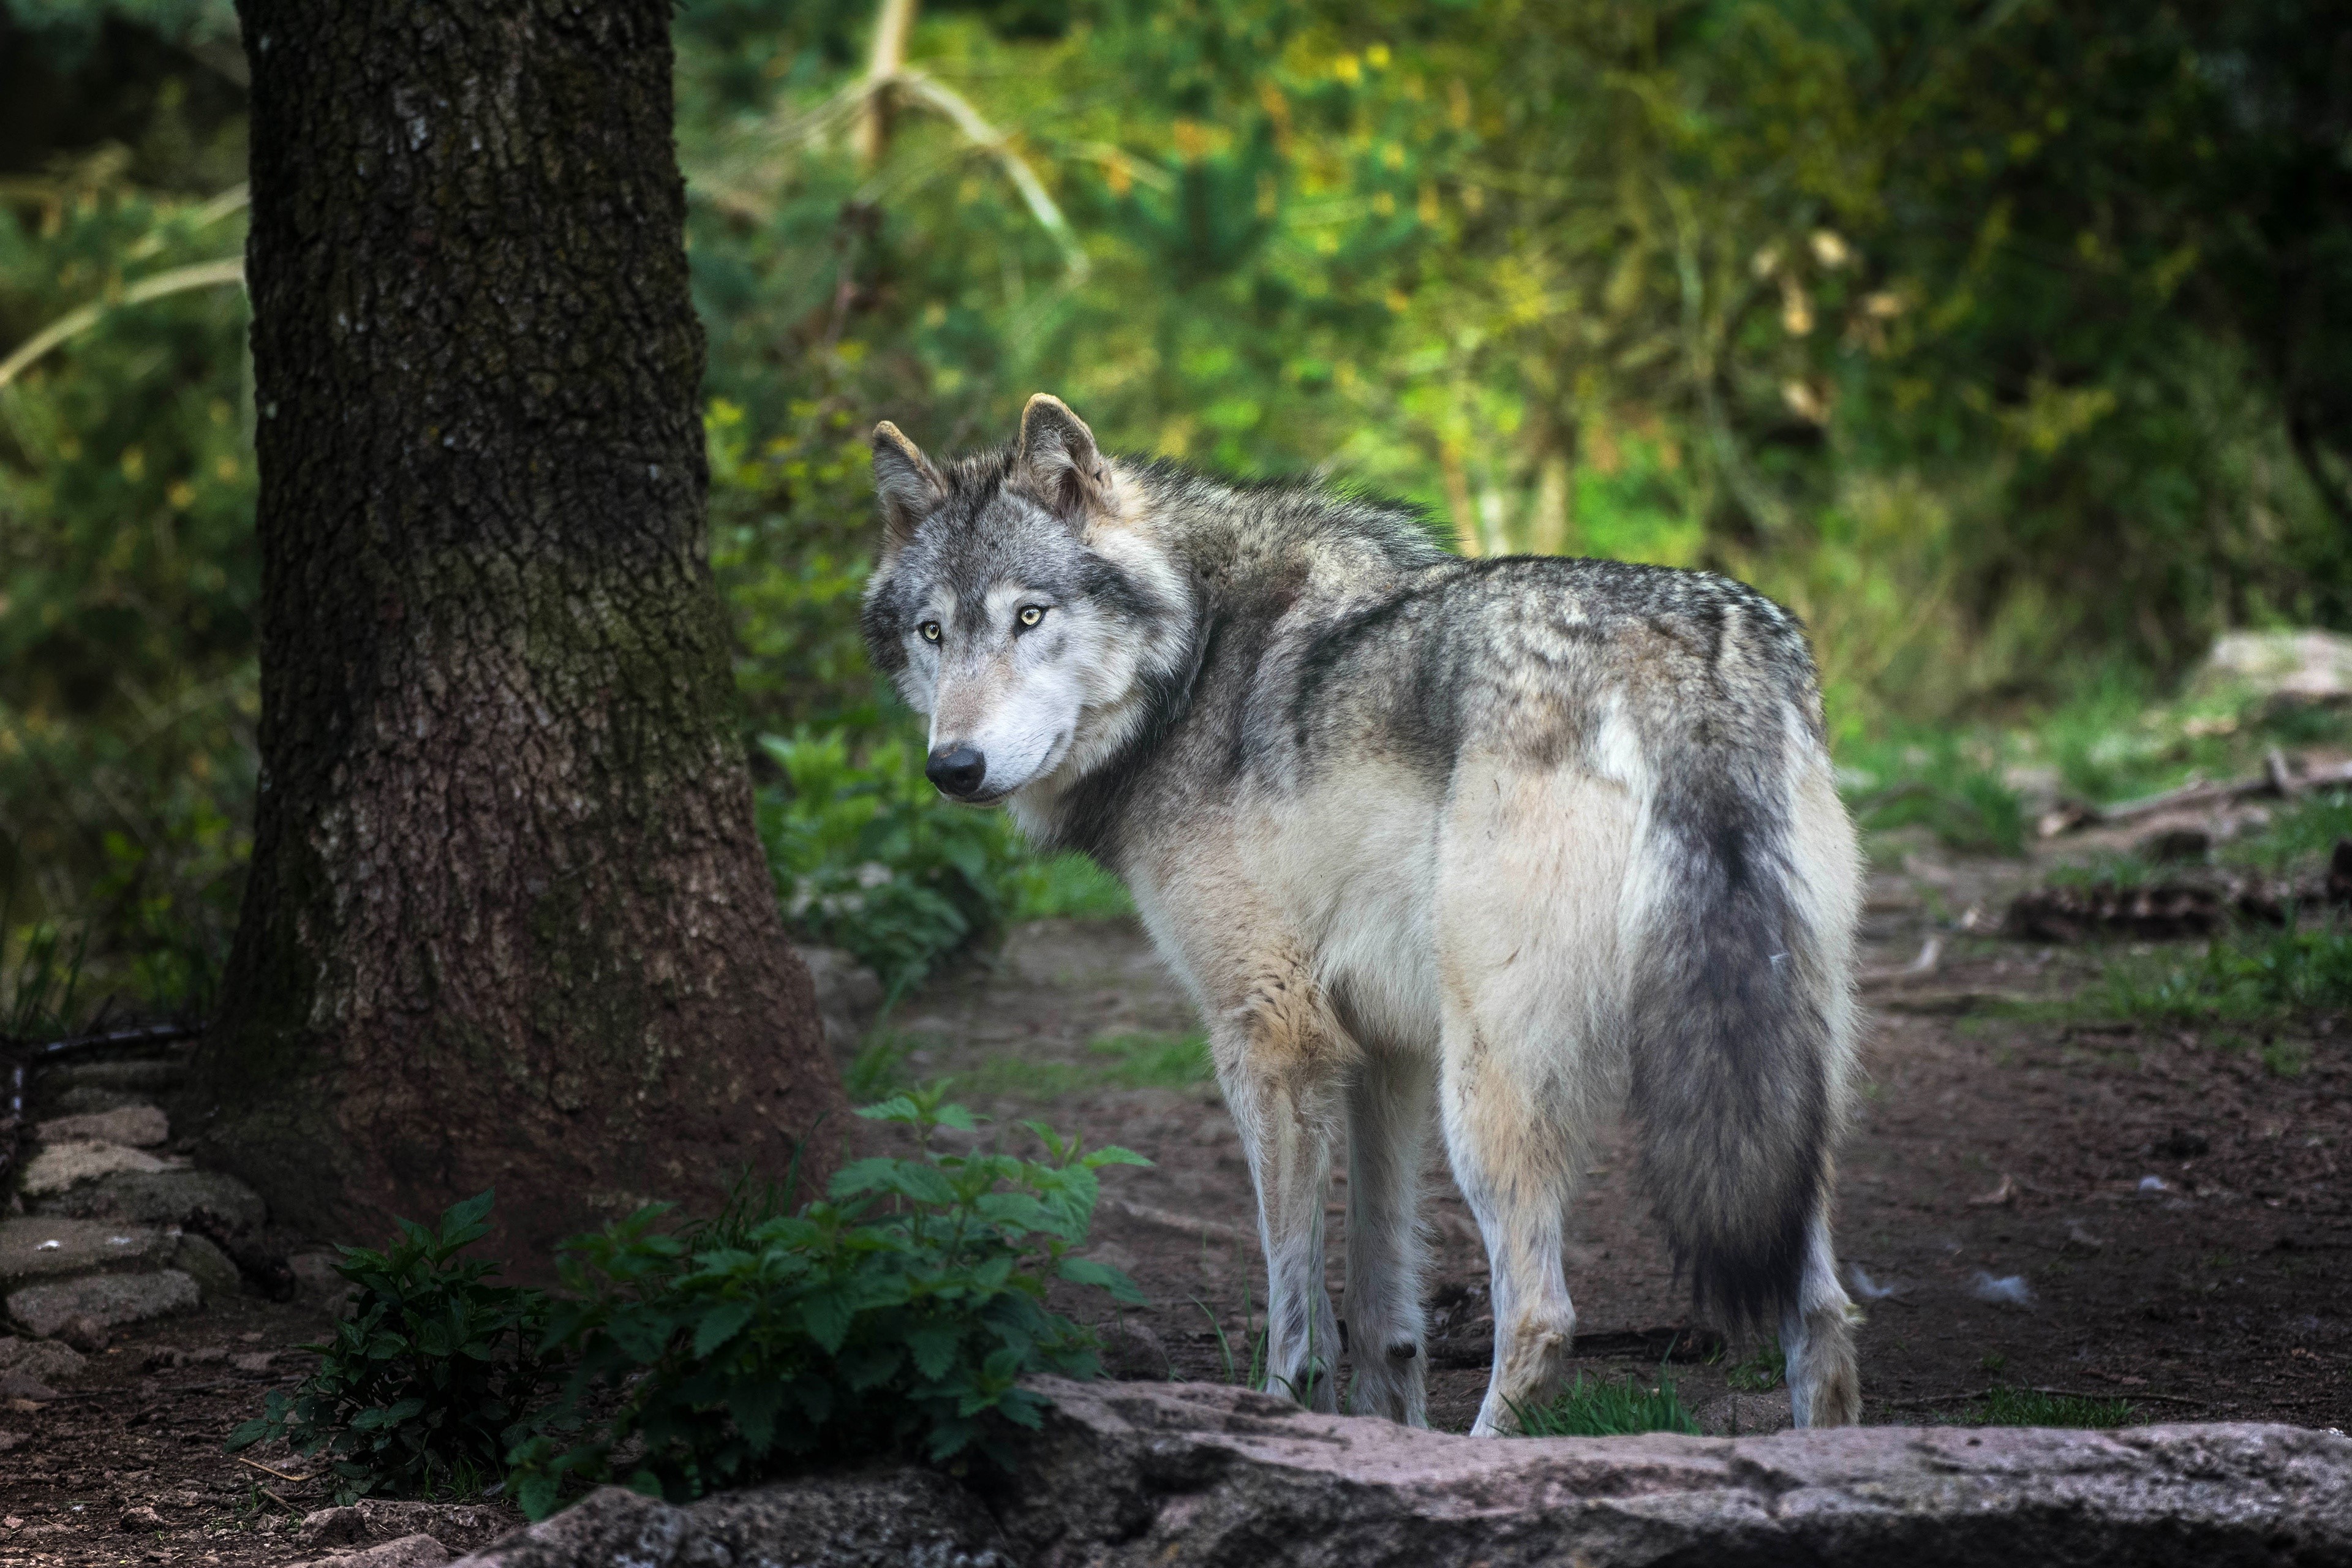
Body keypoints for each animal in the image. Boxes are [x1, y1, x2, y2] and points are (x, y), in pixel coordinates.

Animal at [859, 394, 1864, 1433]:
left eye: (1029, 617)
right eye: (933, 633)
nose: (953, 767)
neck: (1195, 662)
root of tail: (1687, 658)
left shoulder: (1270, 1038)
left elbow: (1296, 1312)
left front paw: (1283, 1415)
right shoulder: (1387, 1051)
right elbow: (1384, 1305)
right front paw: (1389, 1427)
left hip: (1492, 1091)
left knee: (1542, 1317)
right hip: (1781, 1087)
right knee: (1822, 1310)